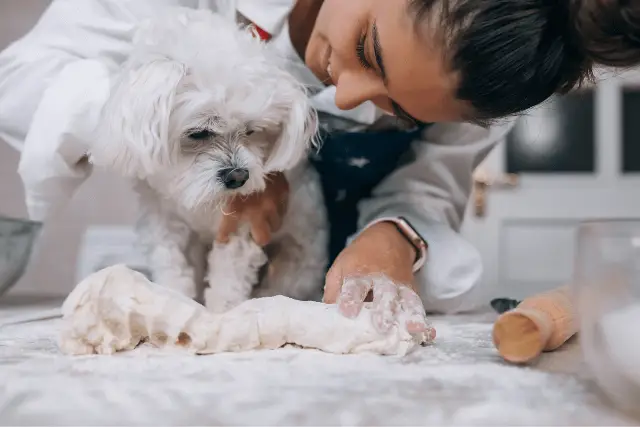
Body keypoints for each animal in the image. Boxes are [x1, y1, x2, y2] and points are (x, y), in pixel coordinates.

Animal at [90, 7, 328, 314]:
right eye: (199, 132)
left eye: (251, 131)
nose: (239, 177)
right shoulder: (164, 221)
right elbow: (172, 266)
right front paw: (172, 301)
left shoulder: (242, 225)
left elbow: (228, 281)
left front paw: (219, 315)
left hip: (297, 263)